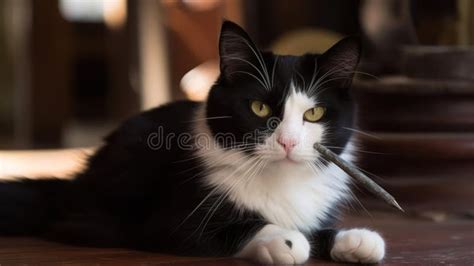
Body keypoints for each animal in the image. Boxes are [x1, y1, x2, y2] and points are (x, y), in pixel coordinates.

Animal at [0, 20, 386, 264]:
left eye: (314, 113)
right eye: (259, 107)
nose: (288, 142)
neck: (282, 180)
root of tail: (73, 183)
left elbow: (316, 226)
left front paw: (355, 239)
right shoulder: (167, 221)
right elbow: (235, 229)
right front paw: (286, 240)